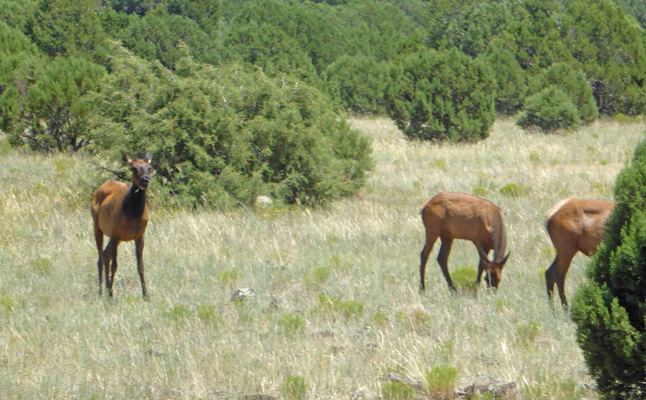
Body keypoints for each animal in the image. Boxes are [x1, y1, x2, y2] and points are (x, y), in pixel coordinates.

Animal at [92, 152, 154, 298]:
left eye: (149, 167)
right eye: (133, 168)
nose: (145, 180)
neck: (133, 214)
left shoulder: (140, 236)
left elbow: (140, 266)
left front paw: (146, 295)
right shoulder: (115, 233)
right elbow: (115, 265)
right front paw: (111, 295)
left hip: (114, 236)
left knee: (105, 255)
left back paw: (107, 288)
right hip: (97, 226)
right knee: (101, 258)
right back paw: (102, 291)